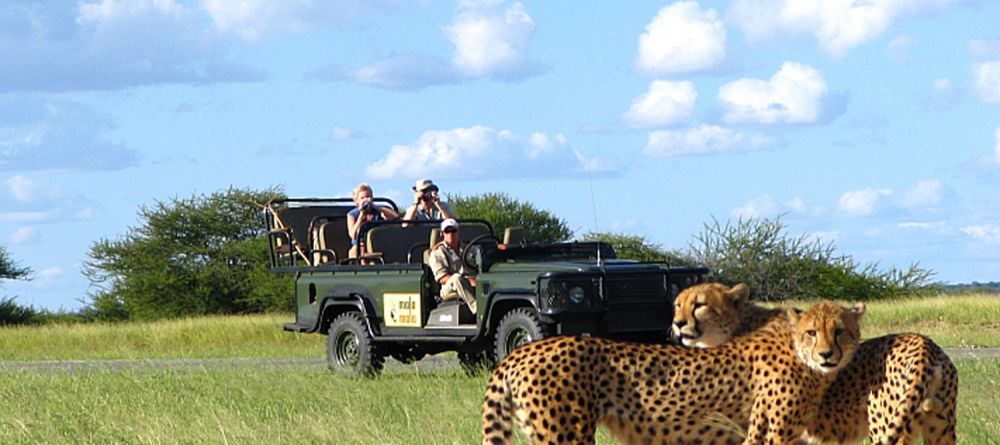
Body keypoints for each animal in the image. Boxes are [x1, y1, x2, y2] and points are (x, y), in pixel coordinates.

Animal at [480, 300, 864, 442]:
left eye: (840, 331)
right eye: (812, 332)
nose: (827, 354)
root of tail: (522, 350)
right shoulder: (768, 434)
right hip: (565, 434)